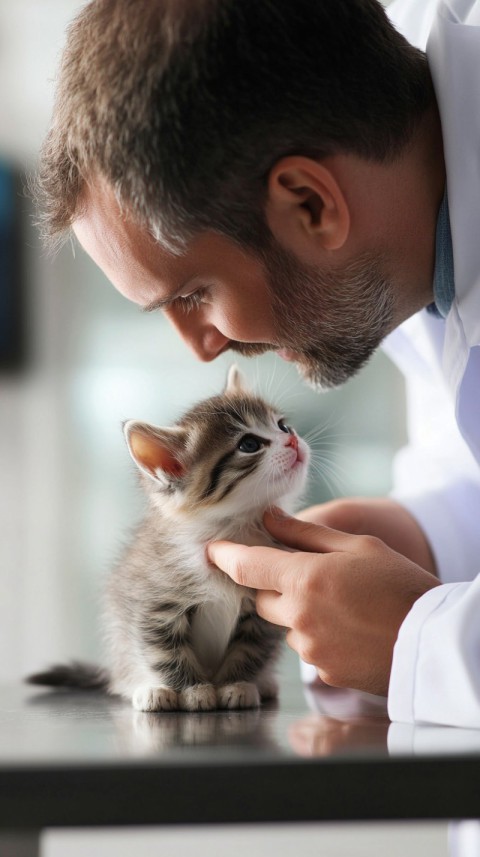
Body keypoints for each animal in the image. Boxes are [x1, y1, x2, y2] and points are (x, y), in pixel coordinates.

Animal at [27, 364, 312, 712]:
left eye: (282, 425)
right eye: (249, 444)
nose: (293, 439)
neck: (234, 526)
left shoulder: (259, 614)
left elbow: (250, 649)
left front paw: (238, 684)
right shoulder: (154, 605)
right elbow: (164, 651)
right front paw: (193, 690)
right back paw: (150, 690)